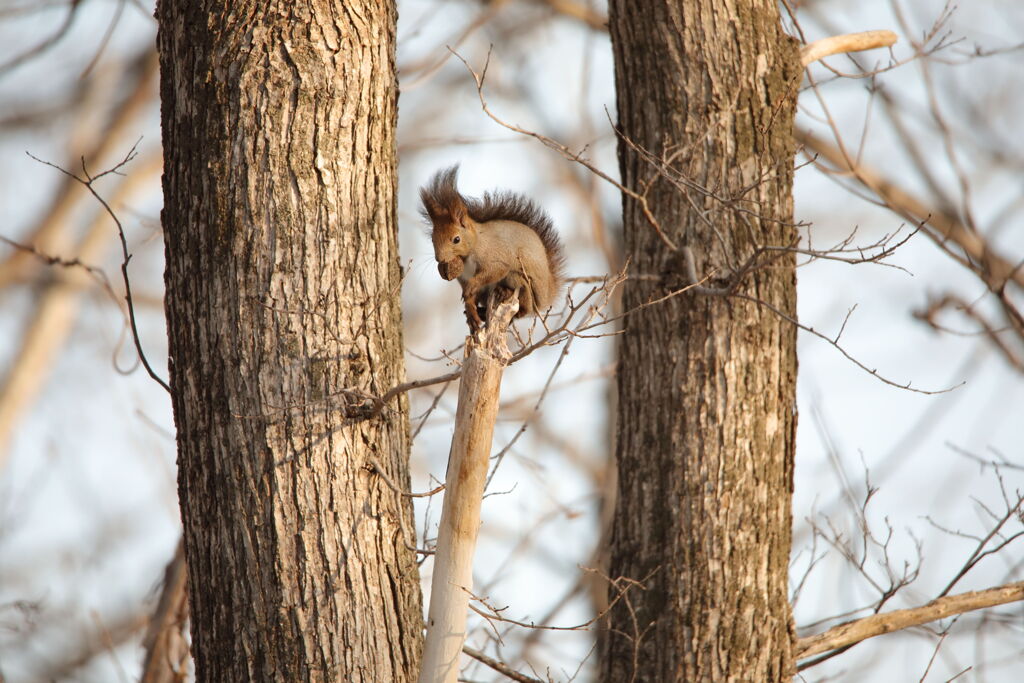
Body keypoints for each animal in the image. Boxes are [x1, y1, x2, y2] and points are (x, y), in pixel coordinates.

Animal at [421, 166, 569, 335]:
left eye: (456, 239)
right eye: (432, 239)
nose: (440, 259)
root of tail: (546, 296)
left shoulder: (494, 255)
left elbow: (495, 270)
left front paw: (472, 286)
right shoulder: (463, 277)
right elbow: (469, 295)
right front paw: (470, 310)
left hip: (519, 278)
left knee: (524, 308)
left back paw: (506, 295)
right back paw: (479, 312)